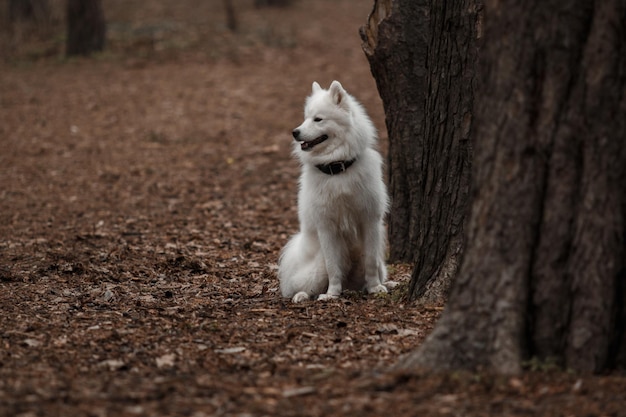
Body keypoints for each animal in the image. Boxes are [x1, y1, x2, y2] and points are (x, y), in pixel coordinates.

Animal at [278, 80, 390, 302]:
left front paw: (375, 288)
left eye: (318, 119)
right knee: (303, 287)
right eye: (305, 117)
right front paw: (332, 294)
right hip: (316, 268)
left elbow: (371, 261)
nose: (295, 132)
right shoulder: (327, 227)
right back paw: (303, 296)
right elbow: (333, 267)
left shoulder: (369, 220)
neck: (337, 167)